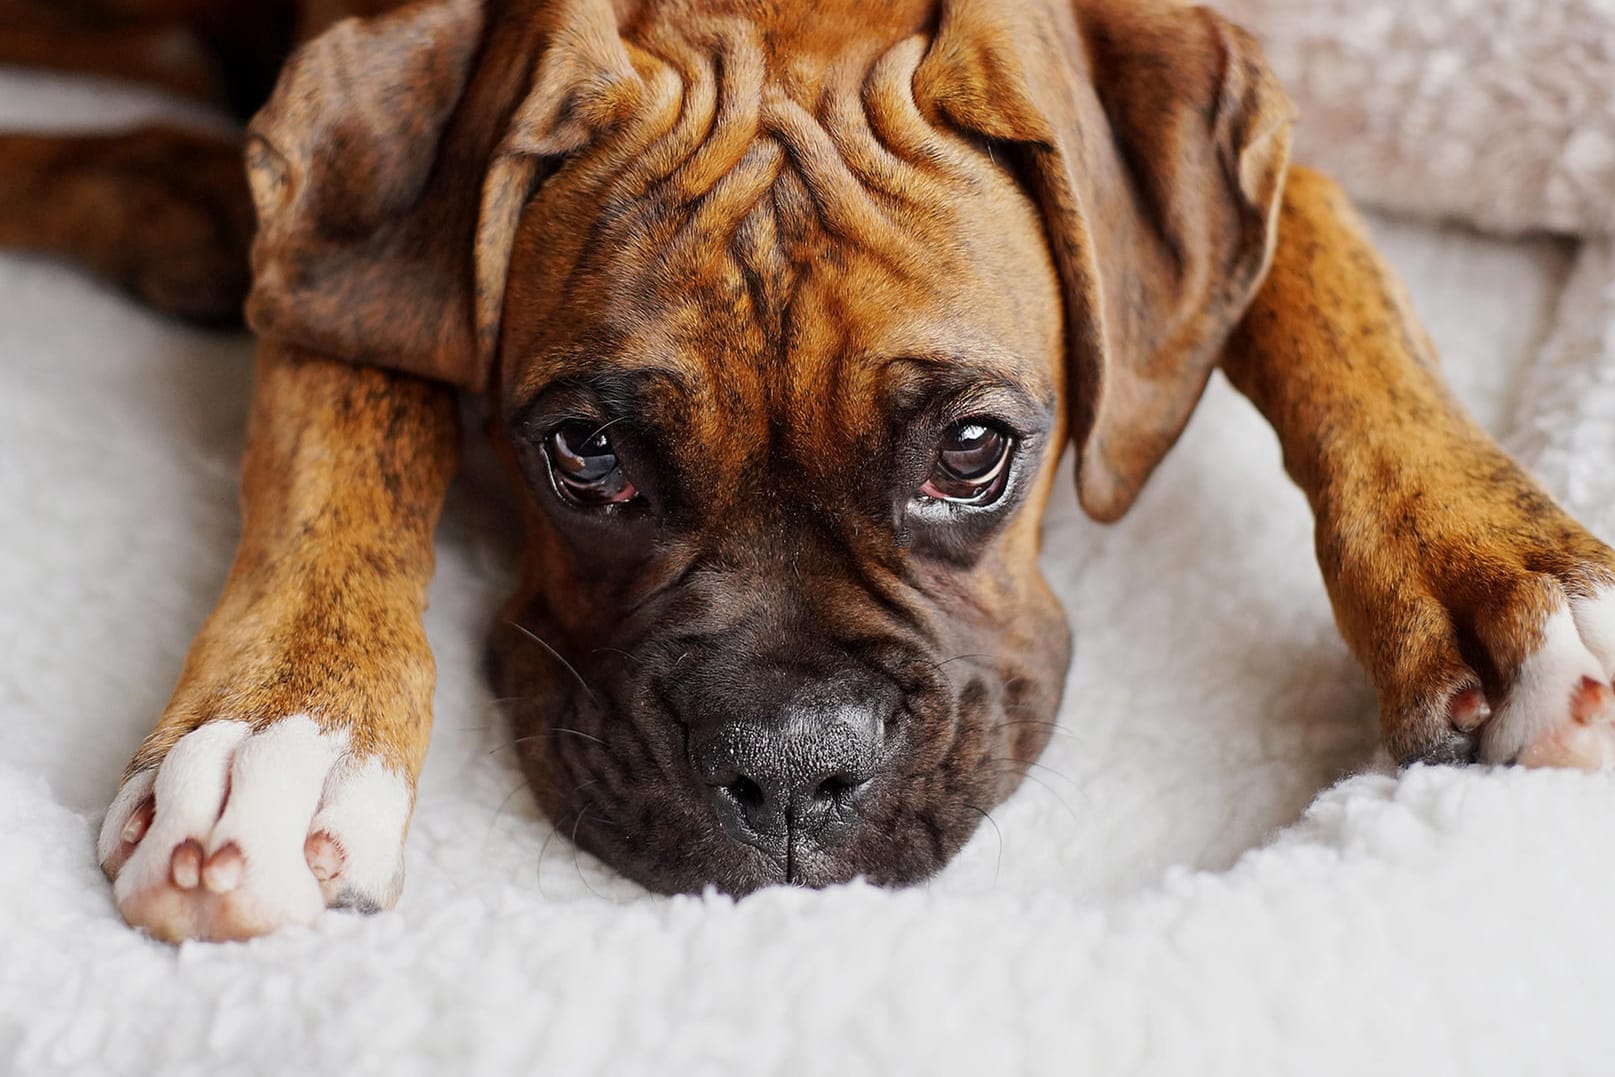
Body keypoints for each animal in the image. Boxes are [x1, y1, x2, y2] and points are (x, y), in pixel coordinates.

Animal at [3, 0, 1615, 942]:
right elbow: (345, 408)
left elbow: (1326, 268)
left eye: (972, 451)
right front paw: (286, 726)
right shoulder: (357, 250)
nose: (788, 773)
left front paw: (1506, 567)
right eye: (584, 452)